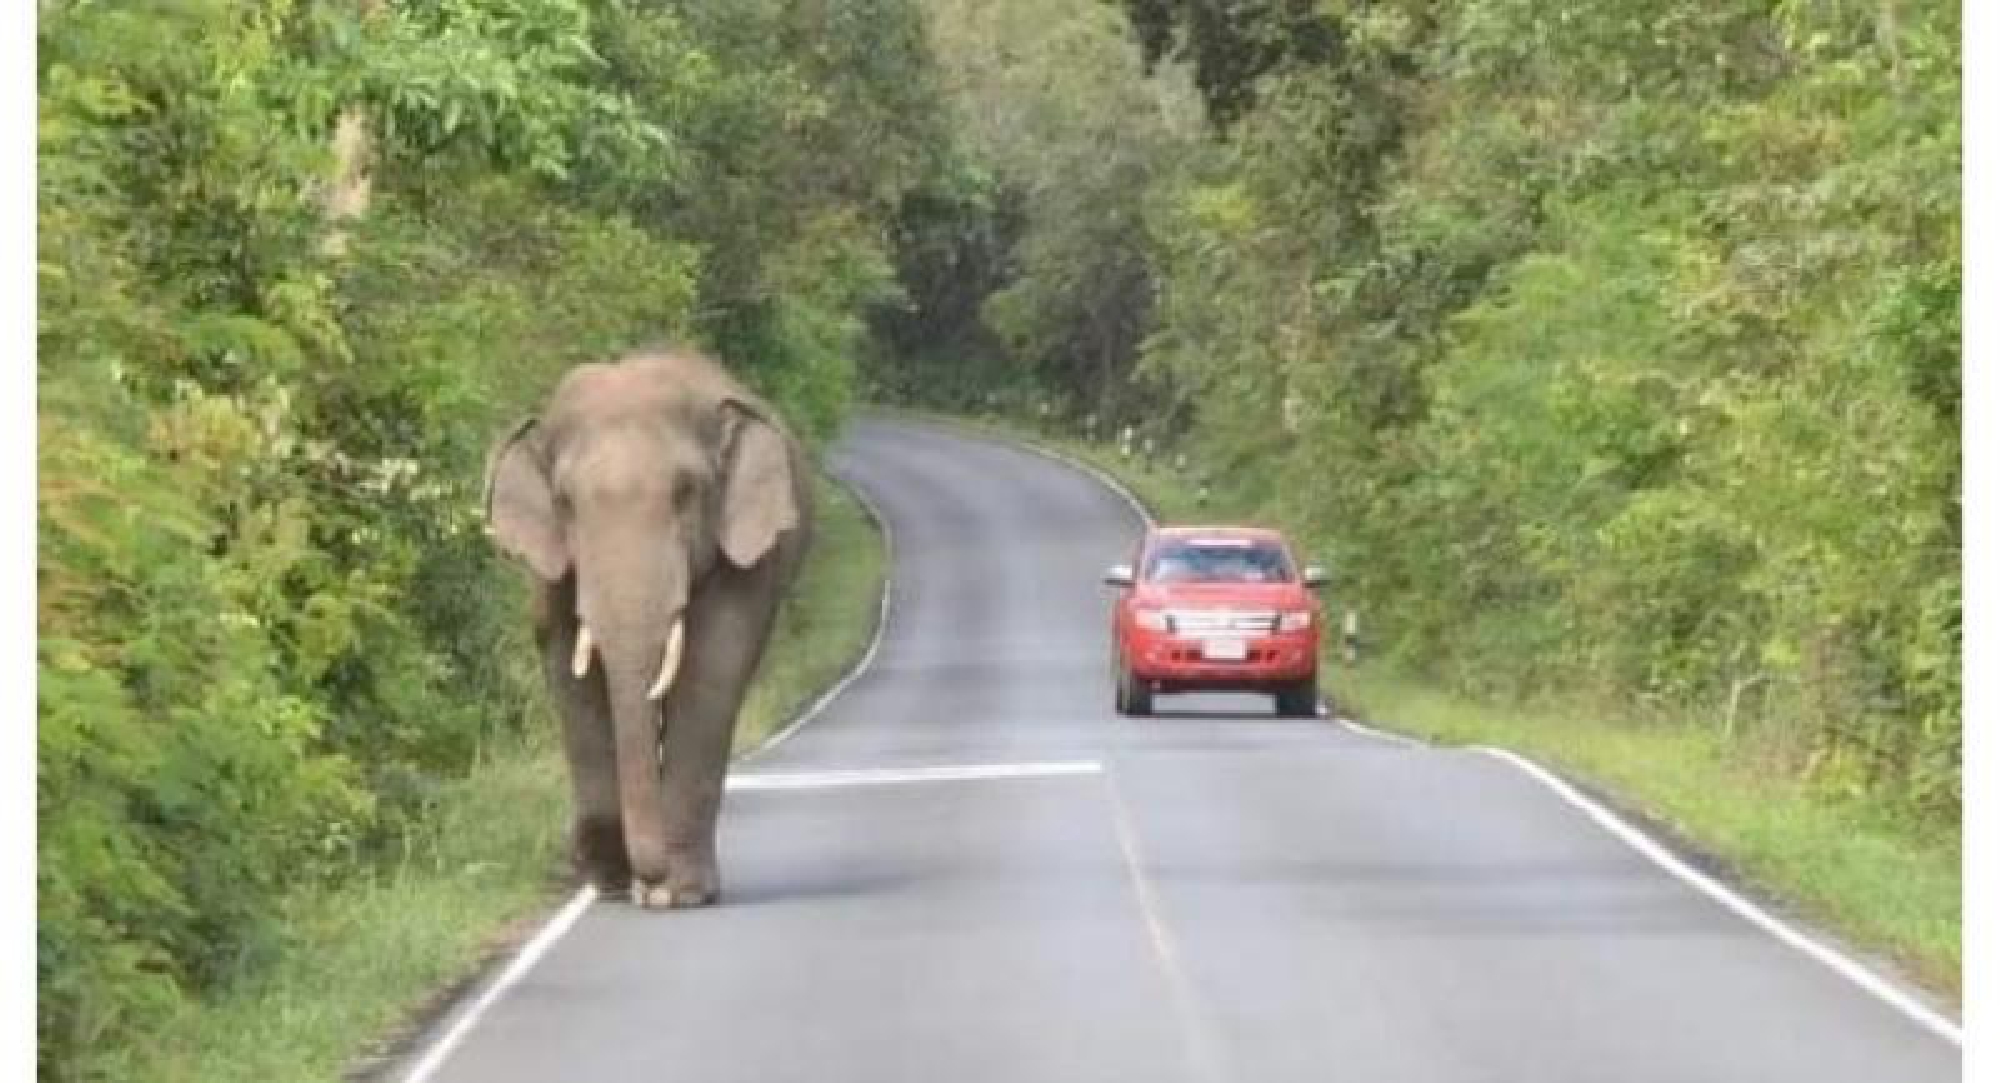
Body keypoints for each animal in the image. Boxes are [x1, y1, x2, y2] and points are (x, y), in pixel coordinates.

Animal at [484, 349, 812, 908]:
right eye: (564, 502)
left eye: (685, 494)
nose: (645, 877)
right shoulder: (550, 566)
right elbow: (568, 669)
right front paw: (611, 881)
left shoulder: (744, 553)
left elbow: (710, 670)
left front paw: (674, 895)